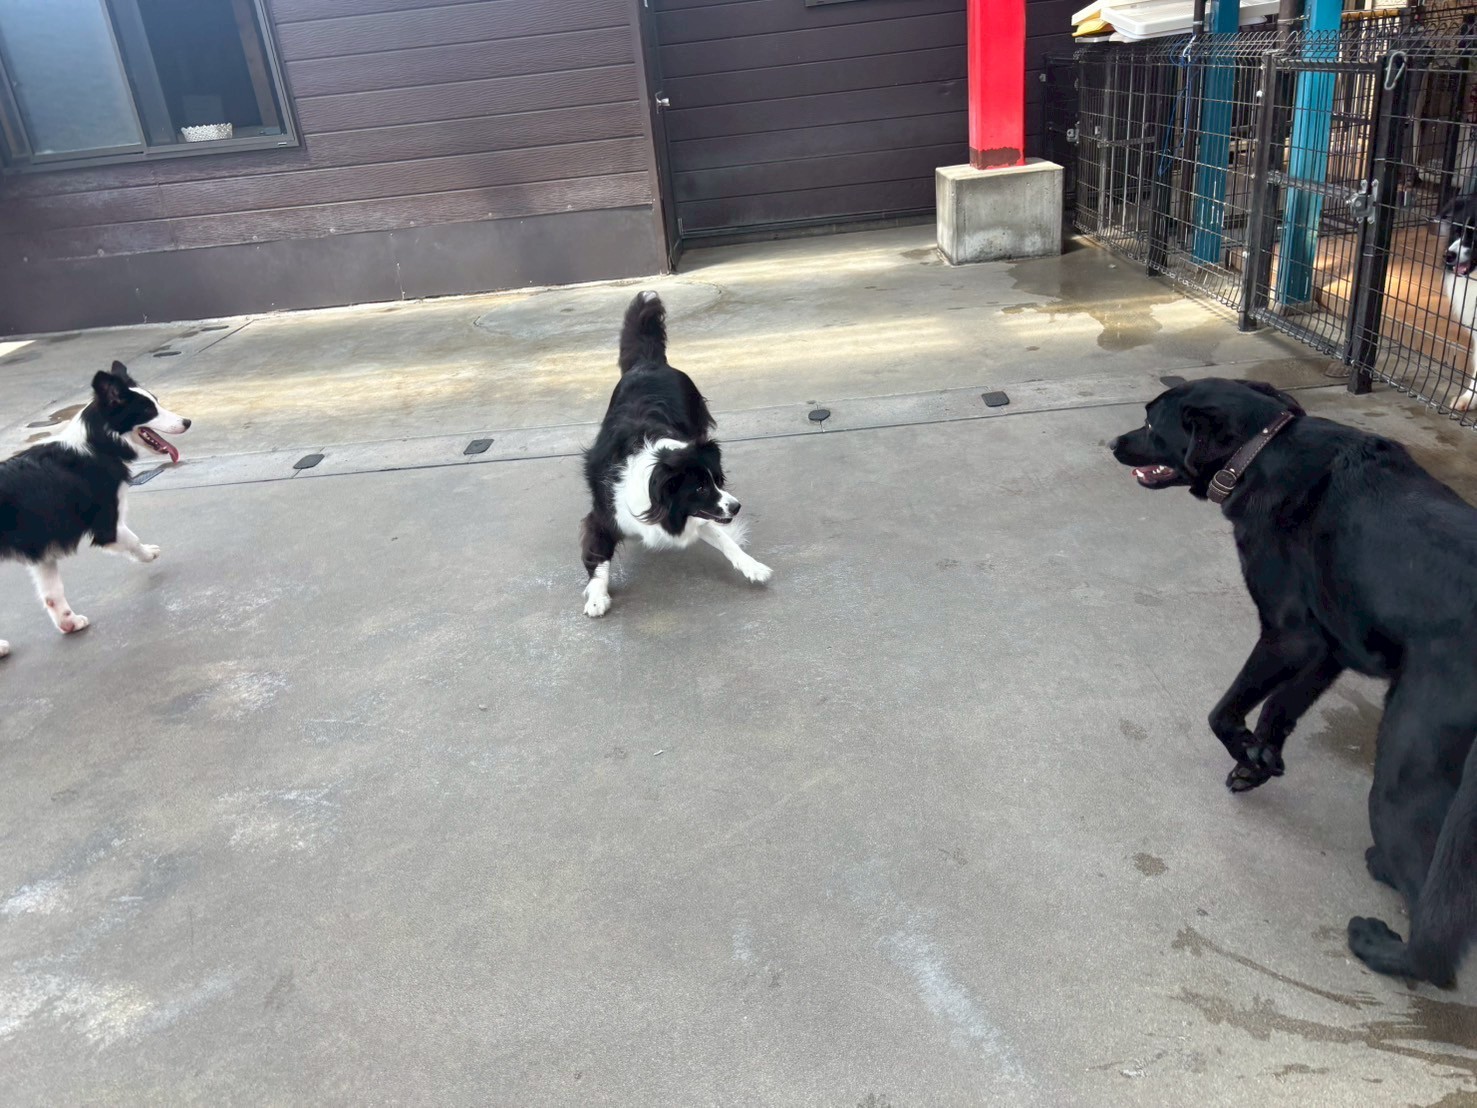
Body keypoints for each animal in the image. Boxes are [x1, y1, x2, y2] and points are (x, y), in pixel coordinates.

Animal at [0, 361, 189, 656]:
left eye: (156, 402)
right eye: (149, 410)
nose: (187, 422)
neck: (98, 443)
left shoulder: (43, 551)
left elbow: (53, 592)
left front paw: (68, 623)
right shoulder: (107, 525)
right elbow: (132, 538)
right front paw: (148, 554)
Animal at [579, 291, 771, 617]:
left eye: (717, 480)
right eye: (700, 487)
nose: (736, 507)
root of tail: (649, 360)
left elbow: (725, 540)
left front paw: (752, 566)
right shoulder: (606, 514)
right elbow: (597, 554)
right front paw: (596, 597)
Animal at [1111, 378, 1477, 988]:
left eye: (1150, 423)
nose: (1112, 443)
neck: (1261, 449)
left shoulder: (1289, 634)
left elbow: (1224, 711)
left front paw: (1244, 750)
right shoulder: (1327, 645)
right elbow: (1280, 708)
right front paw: (1260, 760)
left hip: (1404, 770)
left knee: (1436, 946)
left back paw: (1380, 940)